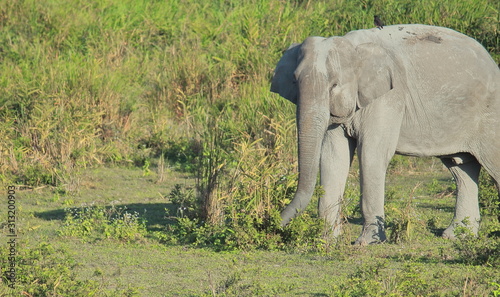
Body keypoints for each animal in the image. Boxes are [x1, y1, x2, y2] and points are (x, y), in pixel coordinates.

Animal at [272, 24, 500, 244]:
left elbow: (371, 153)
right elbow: (333, 157)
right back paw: (457, 236)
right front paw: (326, 240)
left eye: (334, 85)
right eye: (294, 81)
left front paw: (367, 243)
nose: (272, 225)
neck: (354, 47)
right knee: (461, 168)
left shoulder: (389, 96)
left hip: (490, 115)